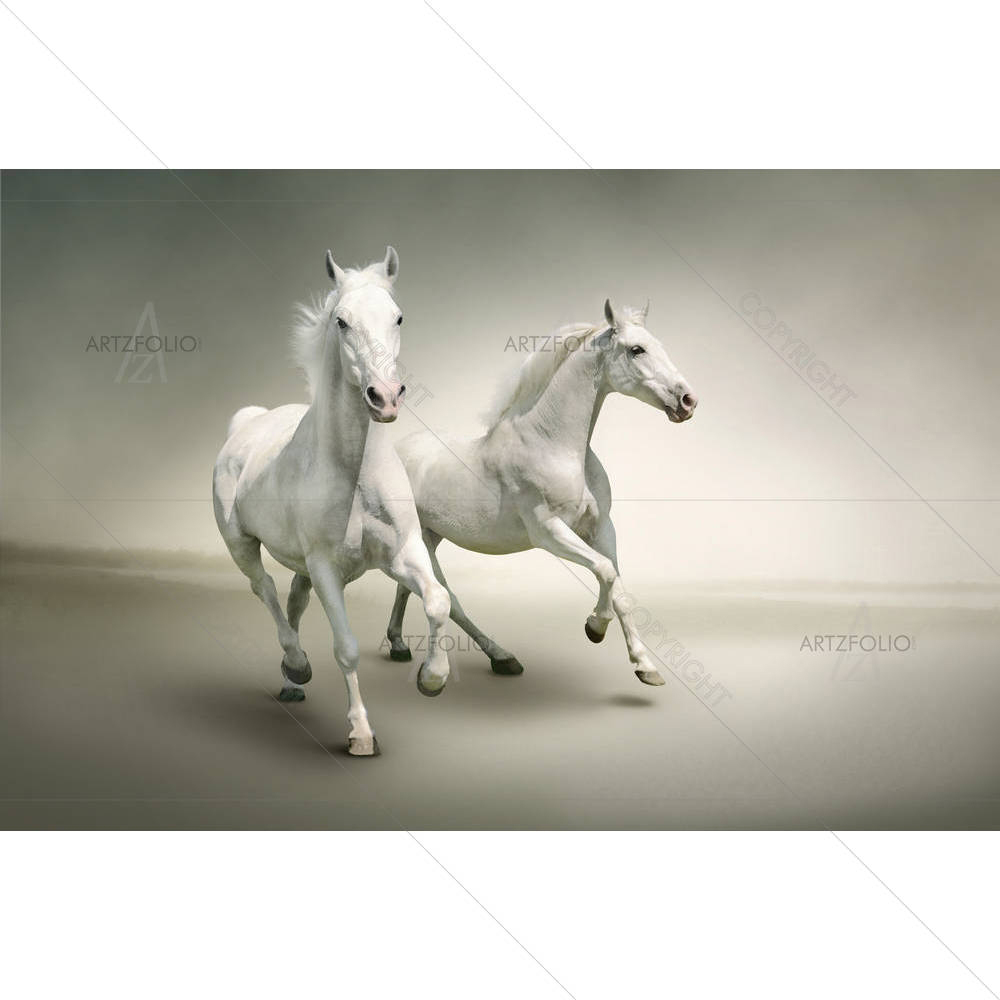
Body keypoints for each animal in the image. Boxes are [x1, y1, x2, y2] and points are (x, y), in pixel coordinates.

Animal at [213, 247, 450, 756]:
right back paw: (297, 664)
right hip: (241, 544)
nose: (385, 397)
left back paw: (292, 681)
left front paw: (432, 678)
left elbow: (438, 600)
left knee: (293, 600)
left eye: (398, 317)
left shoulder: (403, 553)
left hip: (300, 565)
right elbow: (346, 648)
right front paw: (361, 733)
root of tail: (248, 422)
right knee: (264, 589)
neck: (355, 473)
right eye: (342, 321)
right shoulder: (326, 568)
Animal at [385, 298, 697, 689]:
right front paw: (594, 627)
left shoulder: (601, 529)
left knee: (409, 587)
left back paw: (400, 645)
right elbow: (605, 571)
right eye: (636, 349)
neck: (553, 445)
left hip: (430, 536)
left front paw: (645, 666)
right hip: (420, 540)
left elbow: (621, 590)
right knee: (447, 598)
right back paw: (496, 658)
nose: (687, 400)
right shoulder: (548, 531)